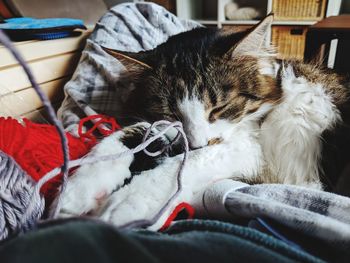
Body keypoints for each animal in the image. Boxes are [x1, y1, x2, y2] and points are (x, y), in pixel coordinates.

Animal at [57, 15, 348, 229]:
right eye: (172, 113)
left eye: (218, 108)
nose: (197, 143)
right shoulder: (164, 127)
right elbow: (120, 138)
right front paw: (78, 190)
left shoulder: (254, 151)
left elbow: (187, 164)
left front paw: (126, 203)